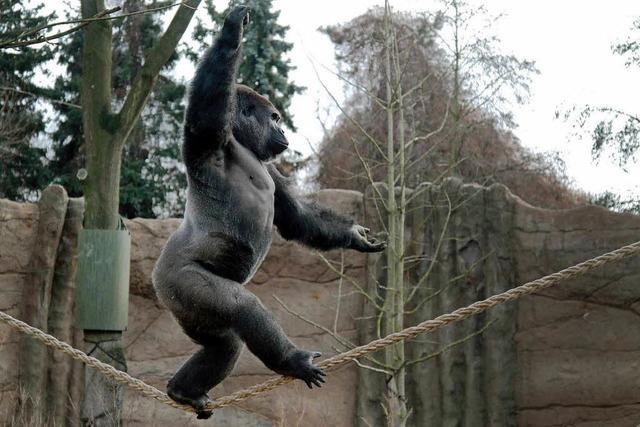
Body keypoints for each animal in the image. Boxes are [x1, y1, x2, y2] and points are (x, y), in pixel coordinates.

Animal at [152, 5, 384, 422]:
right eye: (273, 117)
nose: (284, 131)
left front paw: (353, 237)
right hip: (177, 282)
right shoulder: (210, 138)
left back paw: (183, 390)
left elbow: (296, 217)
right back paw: (290, 361)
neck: (243, 144)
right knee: (242, 309)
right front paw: (231, 32)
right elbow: (205, 110)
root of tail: (156, 281)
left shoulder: (271, 166)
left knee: (222, 345)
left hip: (184, 308)